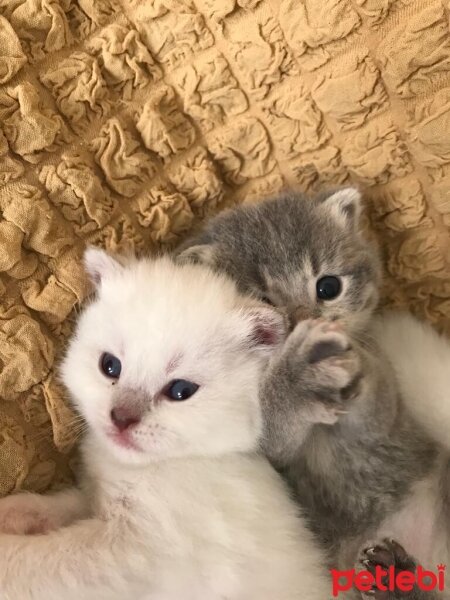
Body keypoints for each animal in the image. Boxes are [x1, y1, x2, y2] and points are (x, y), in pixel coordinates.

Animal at [0, 251, 330, 600]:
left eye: (180, 391)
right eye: (110, 366)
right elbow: (61, 506)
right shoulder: (96, 500)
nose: (121, 418)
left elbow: (41, 558)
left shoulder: (132, 551)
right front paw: (14, 512)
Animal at [178, 189, 446, 600]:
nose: (308, 320)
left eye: (328, 287)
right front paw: (298, 378)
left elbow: (376, 408)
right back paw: (392, 577)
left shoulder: (387, 415)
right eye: (265, 302)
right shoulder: (260, 446)